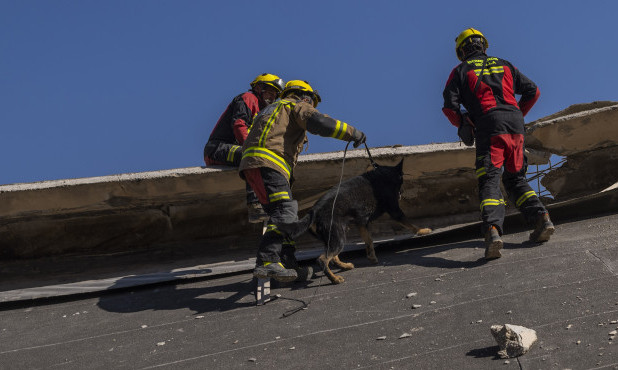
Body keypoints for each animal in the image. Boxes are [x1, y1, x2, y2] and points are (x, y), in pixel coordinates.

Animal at [278, 158, 428, 284]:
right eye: (401, 179)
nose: (401, 193)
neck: (382, 175)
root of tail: (314, 210)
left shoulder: (362, 223)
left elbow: (369, 241)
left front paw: (372, 257)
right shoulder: (394, 210)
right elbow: (408, 222)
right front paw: (422, 230)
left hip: (334, 237)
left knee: (332, 257)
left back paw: (344, 266)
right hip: (338, 237)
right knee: (322, 259)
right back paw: (334, 279)